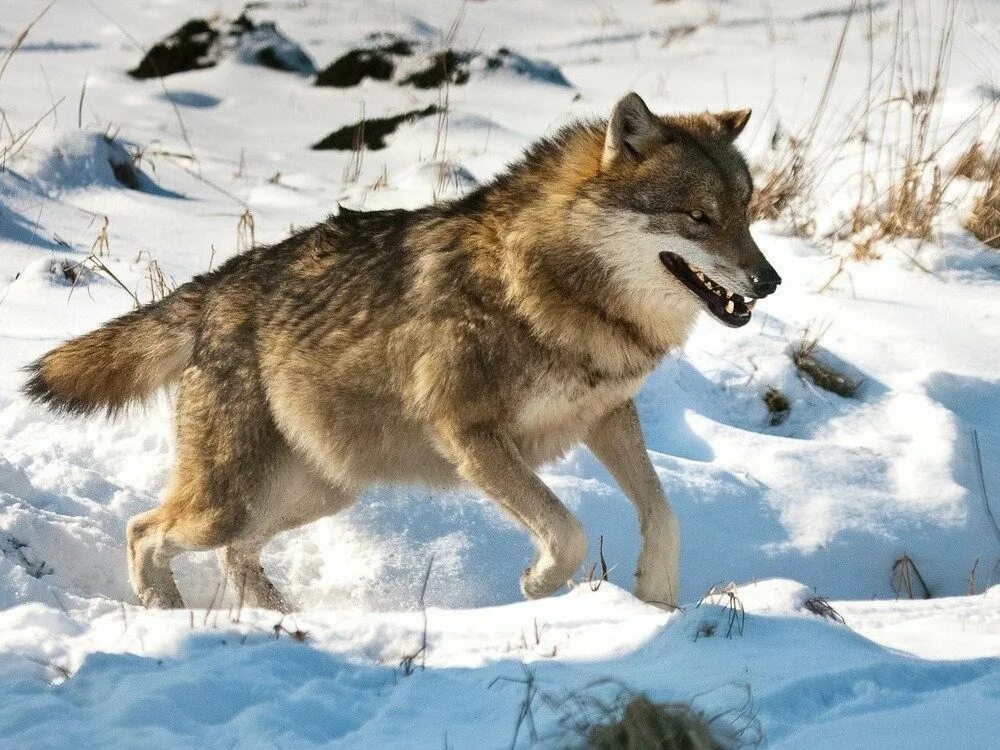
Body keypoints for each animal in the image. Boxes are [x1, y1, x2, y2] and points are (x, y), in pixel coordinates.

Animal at [25, 92, 780, 612]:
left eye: (747, 214)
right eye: (698, 218)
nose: (768, 281)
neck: (553, 283)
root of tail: (214, 291)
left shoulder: (607, 415)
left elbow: (665, 515)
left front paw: (656, 599)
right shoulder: (470, 434)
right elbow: (564, 533)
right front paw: (539, 588)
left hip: (316, 492)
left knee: (236, 555)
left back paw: (283, 622)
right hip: (232, 501)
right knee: (142, 529)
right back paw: (168, 615)